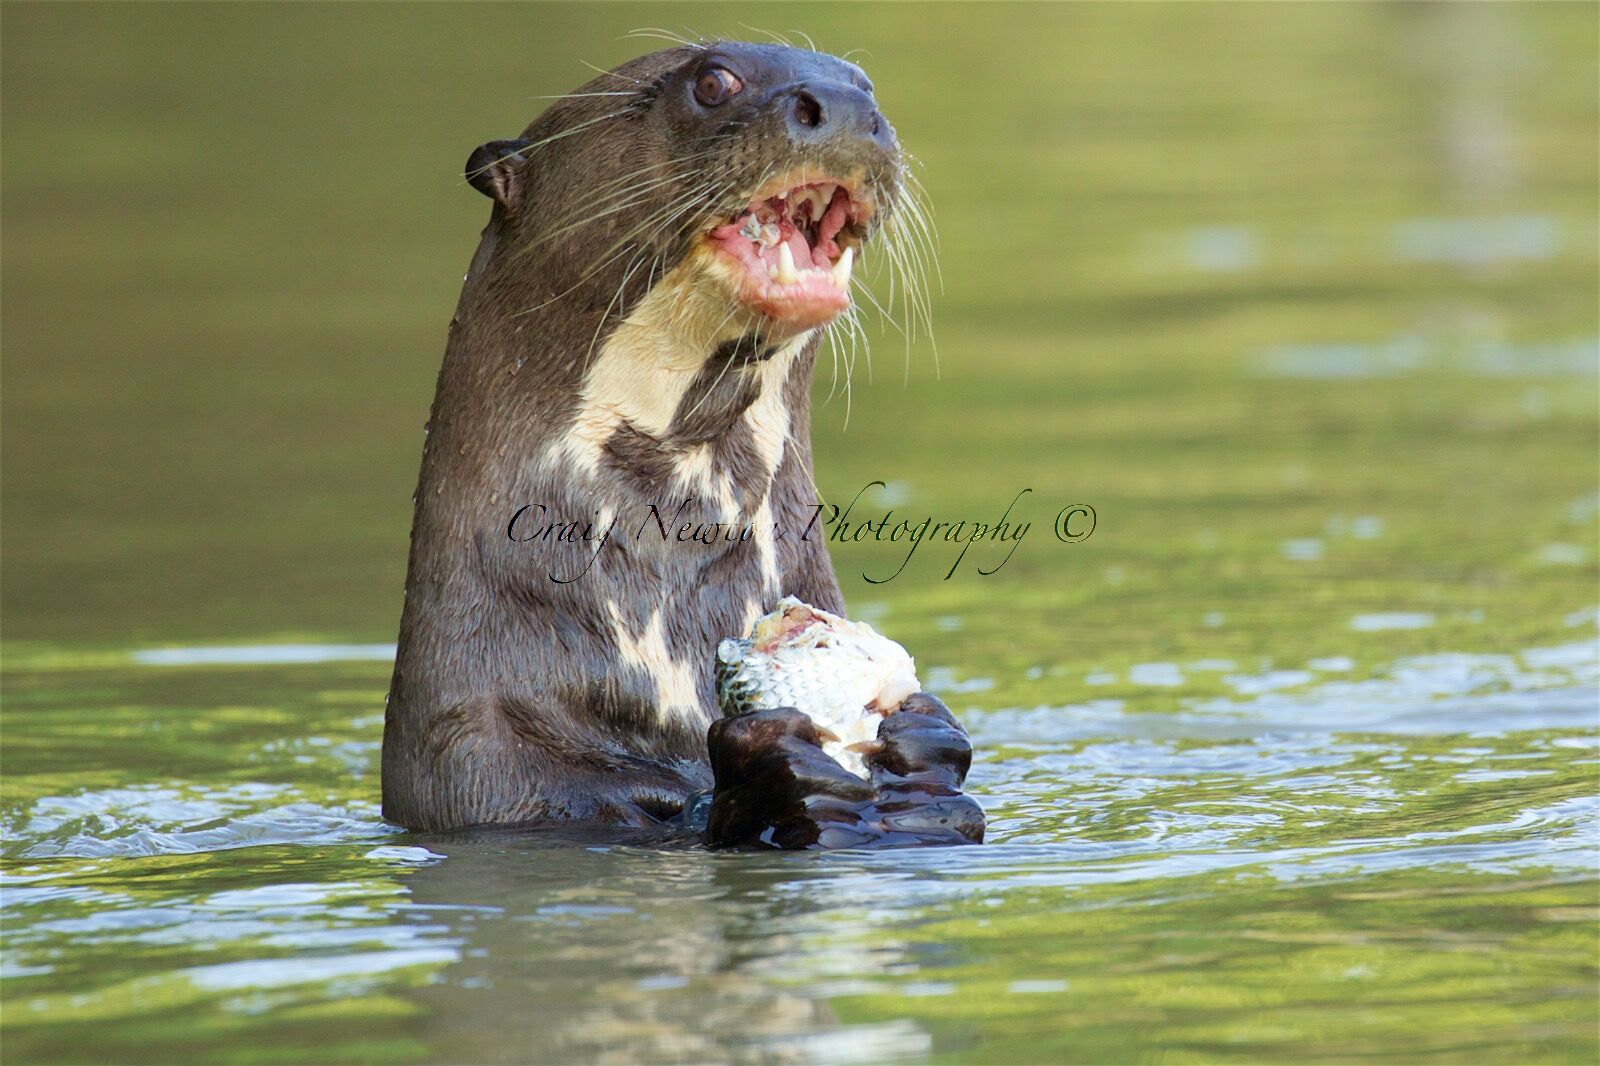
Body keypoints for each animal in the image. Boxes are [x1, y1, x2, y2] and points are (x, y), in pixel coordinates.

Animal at [382, 41, 981, 847]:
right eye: (713, 80)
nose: (845, 105)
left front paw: (922, 748)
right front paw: (780, 773)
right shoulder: (482, 766)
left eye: (864, 82)